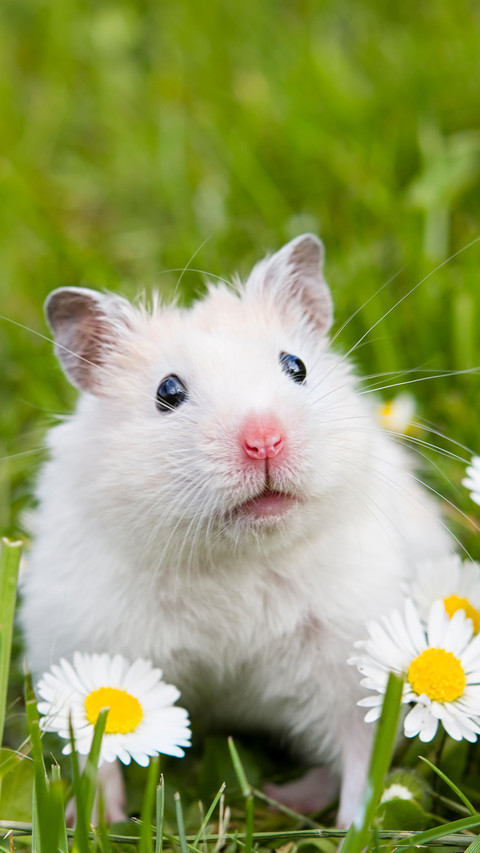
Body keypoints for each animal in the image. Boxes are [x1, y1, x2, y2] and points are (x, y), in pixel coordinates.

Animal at [20, 234, 453, 826]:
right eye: (168, 391)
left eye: (296, 365)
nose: (264, 440)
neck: (235, 556)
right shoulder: (89, 645)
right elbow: (97, 746)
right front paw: (96, 820)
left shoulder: (350, 661)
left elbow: (363, 754)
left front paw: (355, 828)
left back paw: (283, 797)